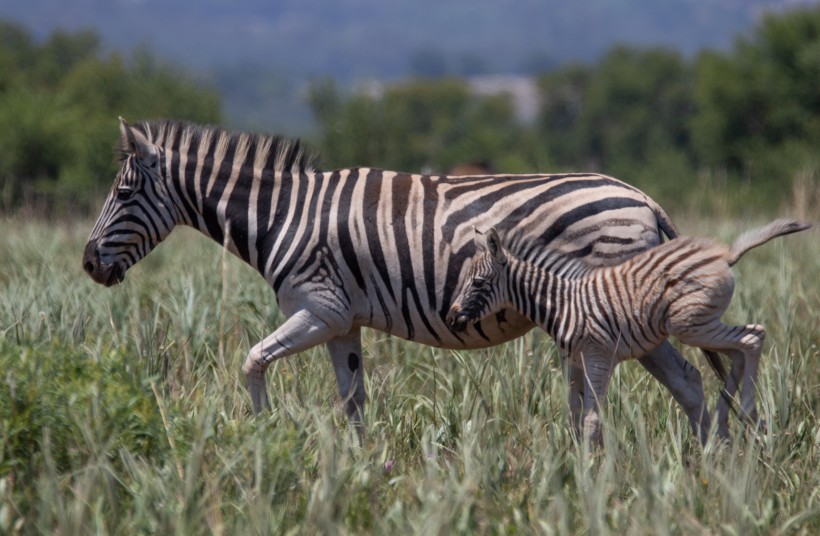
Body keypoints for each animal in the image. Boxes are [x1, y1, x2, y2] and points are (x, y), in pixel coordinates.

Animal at [80, 120, 716, 440]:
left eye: (124, 193)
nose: (87, 263)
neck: (282, 214)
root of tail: (645, 200)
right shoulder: (342, 322)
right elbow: (353, 400)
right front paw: (361, 472)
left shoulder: (320, 309)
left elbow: (253, 360)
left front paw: (263, 440)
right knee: (689, 384)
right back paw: (708, 470)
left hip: (610, 313)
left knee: (675, 384)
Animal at [448, 219, 812, 444]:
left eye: (478, 282)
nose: (451, 319)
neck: (561, 303)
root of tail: (724, 253)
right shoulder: (572, 359)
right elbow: (574, 414)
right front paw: (572, 462)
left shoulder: (597, 355)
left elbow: (591, 418)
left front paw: (590, 476)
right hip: (700, 323)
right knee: (740, 350)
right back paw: (725, 421)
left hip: (689, 324)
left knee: (753, 337)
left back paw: (747, 412)